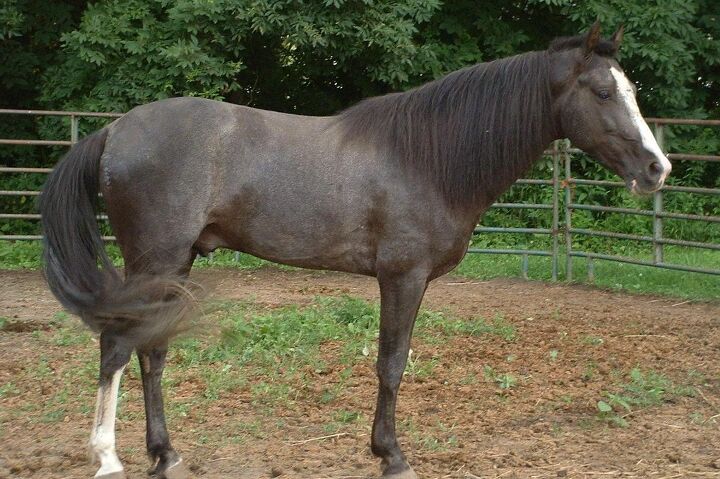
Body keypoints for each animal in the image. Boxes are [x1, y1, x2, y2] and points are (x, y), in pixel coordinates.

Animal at [39, 23, 670, 479]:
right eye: (603, 91)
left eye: (632, 91)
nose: (657, 169)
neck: (428, 157)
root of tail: (114, 131)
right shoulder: (402, 277)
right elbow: (391, 364)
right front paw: (392, 456)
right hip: (156, 260)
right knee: (118, 344)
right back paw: (108, 459)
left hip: (177, 264)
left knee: (152, 351)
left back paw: (165, 455)